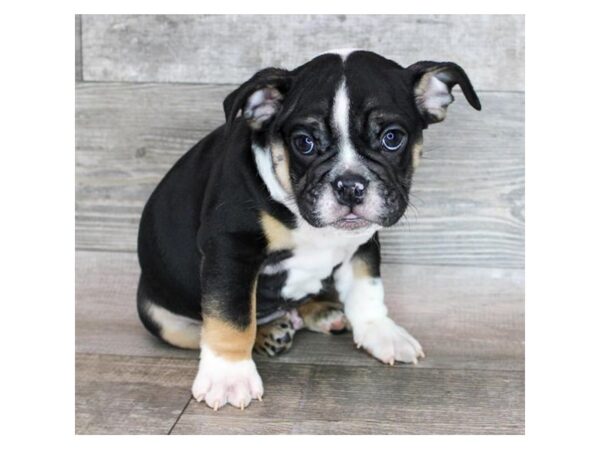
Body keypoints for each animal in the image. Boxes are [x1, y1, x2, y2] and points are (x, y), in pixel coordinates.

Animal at [135, 50, 478, 412]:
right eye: (304, 143)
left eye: (392, 138)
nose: (350, 185)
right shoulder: (231, 248)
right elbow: (232, 315)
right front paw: (230, 376)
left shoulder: (364, 242)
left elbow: (367, 288)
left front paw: (379, 331)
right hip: (158, 315)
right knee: (208, 327)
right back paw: (269, 333)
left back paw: (321, 312)